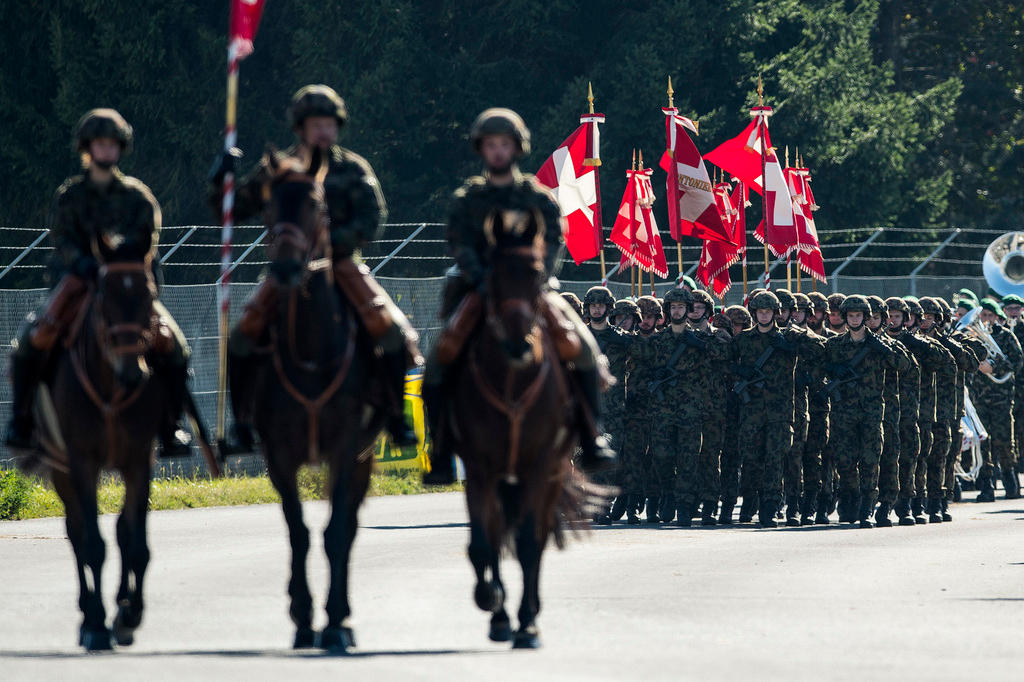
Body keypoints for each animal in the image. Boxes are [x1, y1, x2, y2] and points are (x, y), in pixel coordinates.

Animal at [241, 150, 389, 655]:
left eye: (317, 205)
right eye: (267, 206)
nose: (286, 270)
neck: (310, 351)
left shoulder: (346, 450)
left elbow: (336, 532)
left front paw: (336, 621)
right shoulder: (279, 455)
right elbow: (298, 531)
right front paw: (304, 616)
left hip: (364, 458)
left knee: (349, 525)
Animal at [448, 208, 598, 647]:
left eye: (535, 273)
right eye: (492, 273)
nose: (519, 343)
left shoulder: (541, 466)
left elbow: (531, 542)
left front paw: (527, 623)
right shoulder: (479, 468)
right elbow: (484, 543)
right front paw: (492, 603)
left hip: (550, 475)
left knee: (538, 534)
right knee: (498, 533)